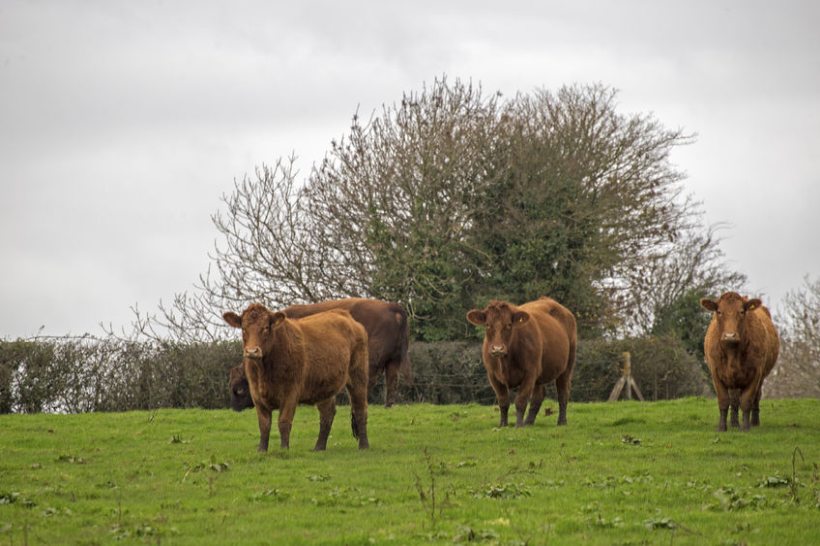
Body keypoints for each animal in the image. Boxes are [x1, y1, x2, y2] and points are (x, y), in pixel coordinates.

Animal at [221, 302, 368, 450]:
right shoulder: (257, 395)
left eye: (266, 328)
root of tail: (344, 314)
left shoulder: (290, 393)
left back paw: (364, 446)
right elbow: (264, 425)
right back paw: (319, 447)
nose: (252, 351)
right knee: (327, 413)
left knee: (360, 410)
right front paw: (262, 450)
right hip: (324, 386)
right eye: (243, 329)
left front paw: (284, 449)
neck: (264, 372)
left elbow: (284, 422)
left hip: (358, 377)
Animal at [227, 296, 410, 406]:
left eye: (240, 390)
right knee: (392, 380)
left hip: (370, 360)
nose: (235, 408)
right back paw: (388, 405)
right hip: (395, 360)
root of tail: (393, 308)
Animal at [468, 296, 576, 428]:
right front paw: (503, 424)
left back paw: (561, 421)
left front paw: (519, 425)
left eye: (509, 325)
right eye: (487, 325)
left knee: (562, 392)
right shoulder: (492, 375)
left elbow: (521, 400)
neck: (505, 362)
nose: (497, 349)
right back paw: (529, 422)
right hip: (540, 372)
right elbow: (503, 401)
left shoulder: (530, 372)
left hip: (567, 365)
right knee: (538, 396)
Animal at [700, 292, 780, 432]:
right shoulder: (716, 374)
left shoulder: (756, 374)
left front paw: (746, 427)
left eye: (742, 312)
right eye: (719, 312)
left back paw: (754, 422)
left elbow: (747, 401)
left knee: (755, 398)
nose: (730, 335)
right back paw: (734, 423)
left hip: (760, 377)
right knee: (734, 400)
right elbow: (724, 401)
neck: (732, 353)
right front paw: (722, 427)